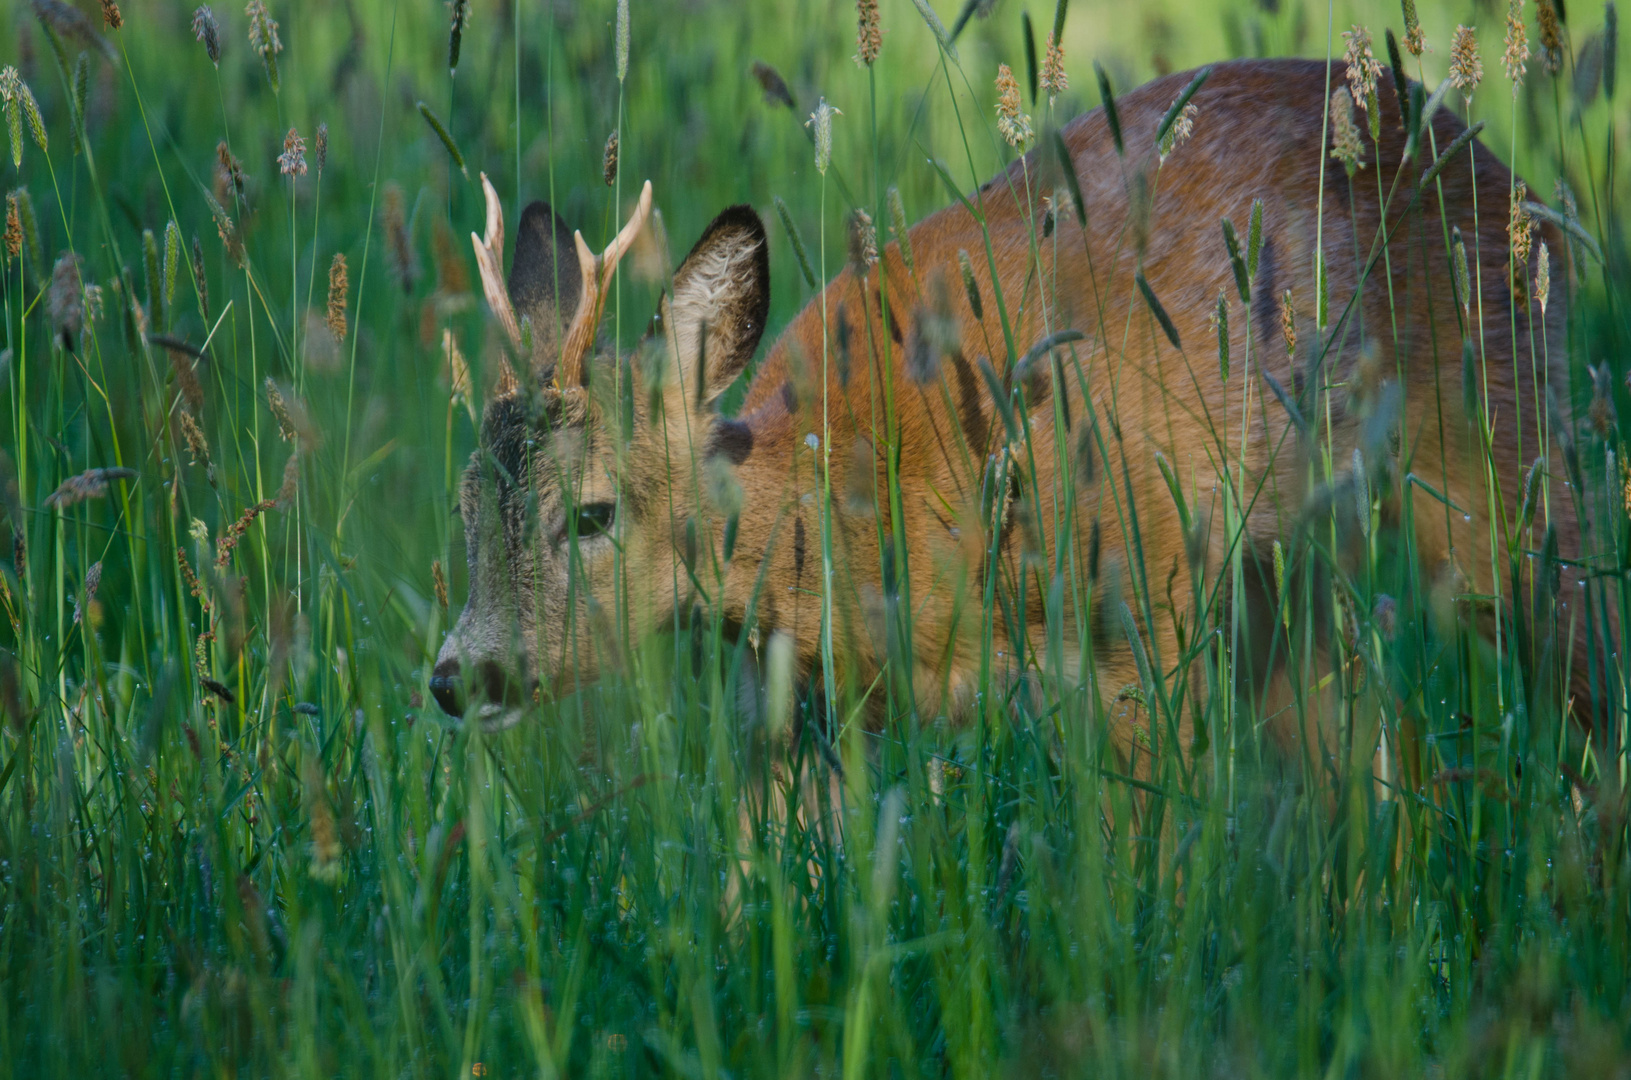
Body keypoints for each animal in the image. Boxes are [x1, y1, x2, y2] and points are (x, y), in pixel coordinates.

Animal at [433, 59, 1591, 770]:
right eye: (465, 507)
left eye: (590, 514)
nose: (458, 674)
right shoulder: (811, 701)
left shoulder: (1146, 614)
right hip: (1286, 581)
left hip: (1505, 458)